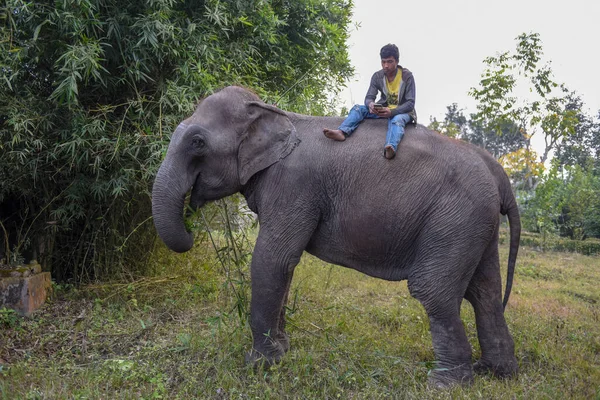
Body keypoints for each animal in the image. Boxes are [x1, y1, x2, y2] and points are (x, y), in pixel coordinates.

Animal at [151, 85, 520, 388]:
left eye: (197, 142)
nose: (190, 226)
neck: (273, 111)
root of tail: (498, 173)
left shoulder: (294, 185)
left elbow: (273, 259)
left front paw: (260, 366)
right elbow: (284, 266)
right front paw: (283, 351)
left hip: (454, 218)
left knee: (434, 291)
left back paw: (445, 385)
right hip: (473, 224)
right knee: (485, 293)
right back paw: (495, 372)